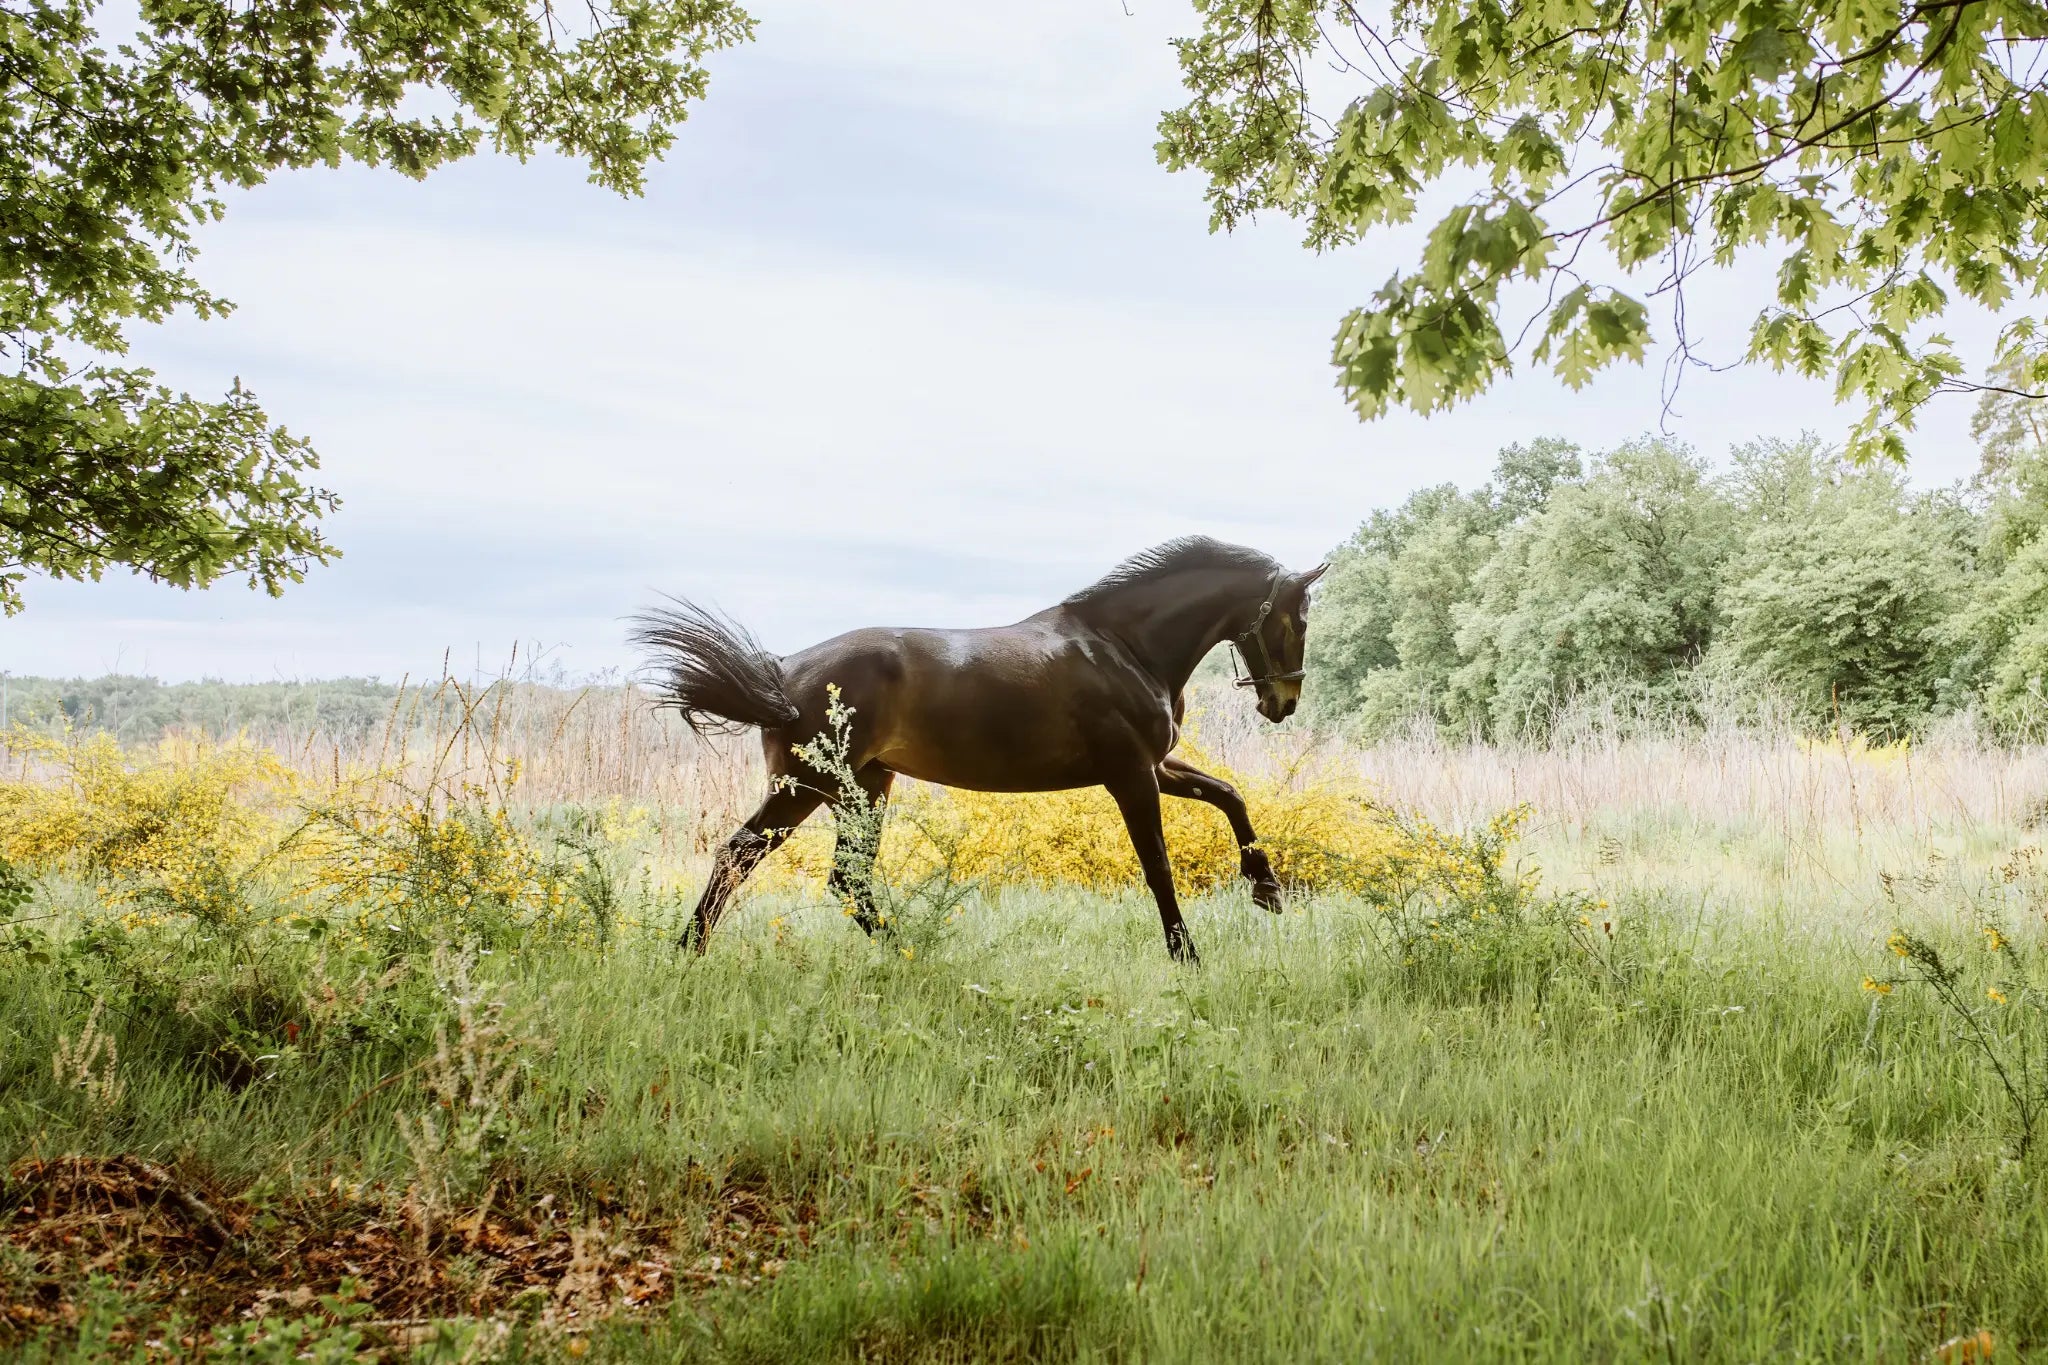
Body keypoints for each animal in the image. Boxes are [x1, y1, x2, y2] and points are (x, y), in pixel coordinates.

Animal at [631, 536, 1326, 964]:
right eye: (1298, 619)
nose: (1284, 702)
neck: (1123, 646)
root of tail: (781, 670)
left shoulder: (1156, 766)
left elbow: (1229, 795)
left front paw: (1266, 889)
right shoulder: (1131, 774)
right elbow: (1157, 865)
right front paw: (1186, 954)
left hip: (863, 789)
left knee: (841, 879)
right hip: (809, 787)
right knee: (742, 857)